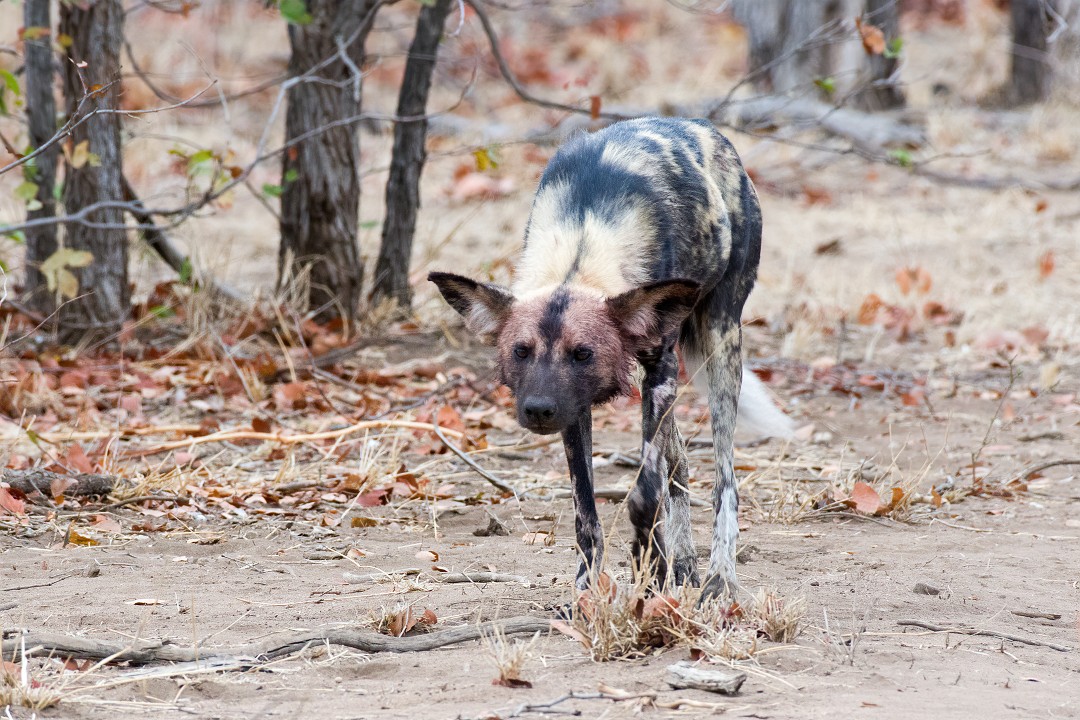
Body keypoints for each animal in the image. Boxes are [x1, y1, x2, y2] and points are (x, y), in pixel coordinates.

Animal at [430, 117, 792, 600]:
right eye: (521, 352)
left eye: (583, 353)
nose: (538, 410)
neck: (581, 247)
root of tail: (704, 129)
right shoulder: (574, 406)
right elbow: (586, 512)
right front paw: (589, 591)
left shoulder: (659, 373)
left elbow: (645, 491)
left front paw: (649, 566)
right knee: (679, 462)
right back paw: (685, 566)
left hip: (719, 345)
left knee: (723, 480)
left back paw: (720, 577)